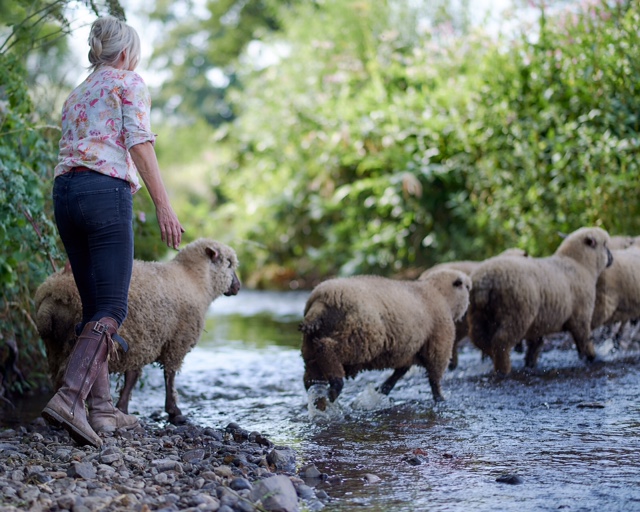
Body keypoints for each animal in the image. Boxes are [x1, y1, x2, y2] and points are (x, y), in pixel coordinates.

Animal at [34, 240, 240, 424]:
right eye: (229, 263)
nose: (238, 286)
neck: (196, 280)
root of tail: (53, 294)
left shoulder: (139, 341)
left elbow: (132, 377)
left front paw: (122, 407)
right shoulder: (176, 342)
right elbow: (170, 377)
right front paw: (174, 410)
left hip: (54, 346)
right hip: (72, 339)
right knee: (66, 374)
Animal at [298, 268, 470, 408]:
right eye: (467, 288)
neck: (438, 293)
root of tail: (320, 302)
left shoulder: (407, 351)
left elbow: (400, 371)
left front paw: (382, 390)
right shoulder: (439, 344)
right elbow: (434, 378)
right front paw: (440, 399)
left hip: (310, 347)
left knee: (312, 376)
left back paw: (318, 397)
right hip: (359, 338)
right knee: (326, 348)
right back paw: (336, 385)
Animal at [468, 228, 612, 376]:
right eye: (605, 244)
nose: (611, 258)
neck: (580, 264)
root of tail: (485, 281)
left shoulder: (537, 324)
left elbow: (535, 346)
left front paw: (530, 364)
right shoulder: (581, 316)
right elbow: (584, 339)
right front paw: (593, 358)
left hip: (478, 315)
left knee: (479, 339)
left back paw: (492, 357)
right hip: (516, 313)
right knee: (501, 341)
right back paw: (503, 369)